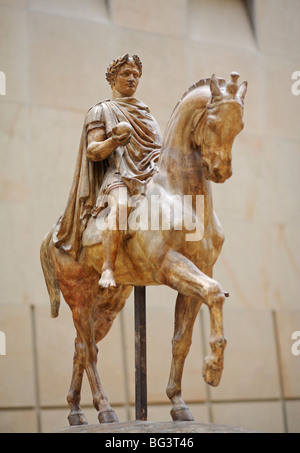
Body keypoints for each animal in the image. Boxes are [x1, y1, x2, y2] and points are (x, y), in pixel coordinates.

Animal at [39, 72, 246, 426]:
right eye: (214, 121)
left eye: (240, 125)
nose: (221, 171)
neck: (179, 194)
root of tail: (55, 233)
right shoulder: (169, 265)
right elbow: (215, 293)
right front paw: (213, 369)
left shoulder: (196, 273)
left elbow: (181, 340)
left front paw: (178, 403)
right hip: (78, 293)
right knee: (88, 348)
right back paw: (105, 409)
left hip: (109, 301)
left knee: (81, 344)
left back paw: (77, 412)